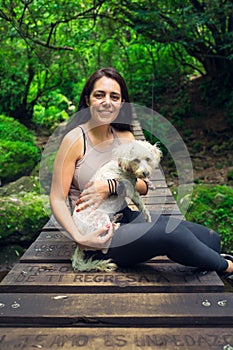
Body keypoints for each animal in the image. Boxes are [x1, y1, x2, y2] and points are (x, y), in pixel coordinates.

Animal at [71, 139, 162, 270]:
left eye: (148, 159)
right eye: (136, 160)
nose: (145, 173)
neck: (123, 168)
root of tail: (80, 244)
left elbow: (142, 204)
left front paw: (149, 183)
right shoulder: (127, 189)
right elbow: (139, 200)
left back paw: (116, 218)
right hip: (100, 219)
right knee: (104, 247)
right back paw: (115, 227)